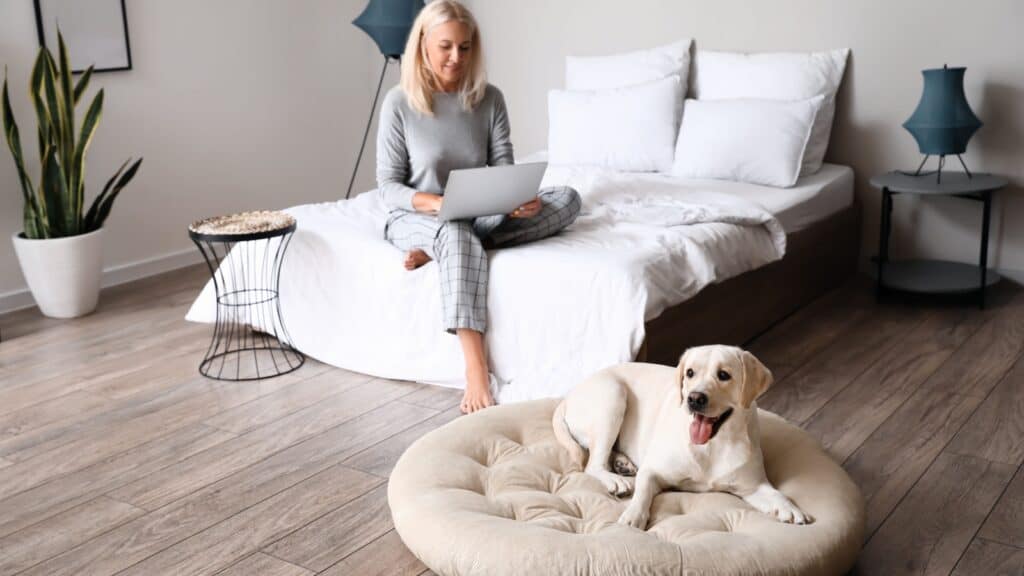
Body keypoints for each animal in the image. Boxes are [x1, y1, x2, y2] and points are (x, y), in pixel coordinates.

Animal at [557, 342, 811, 528]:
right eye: (690, 373)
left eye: (724, 375)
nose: (694, 398)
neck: (712, 446)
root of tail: (568, 395)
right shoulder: (652, 471)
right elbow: (642, 493)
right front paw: (632, 516)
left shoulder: (753, 486)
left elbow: (778, 494)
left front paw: (791, 509)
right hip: (613, 394)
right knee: (593, 464)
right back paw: (615, 478)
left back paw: (622, 463)